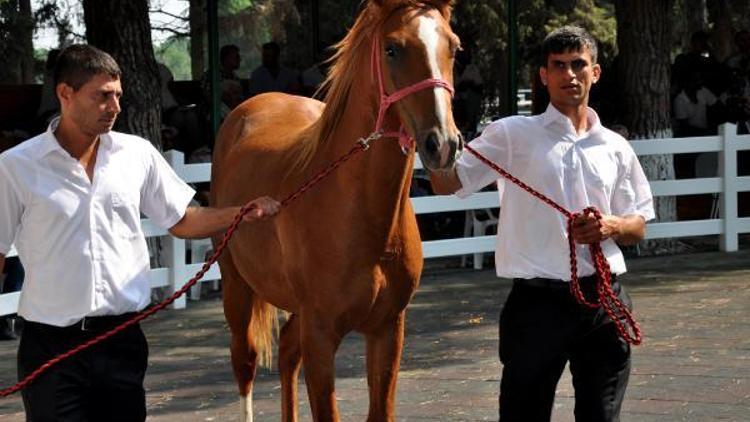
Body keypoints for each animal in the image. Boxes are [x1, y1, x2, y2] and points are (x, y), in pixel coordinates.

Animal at [212, 1, 464, 420]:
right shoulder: (320, 334)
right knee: (244, 364)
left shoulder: (388, 330)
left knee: (286, 352)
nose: (443, 144)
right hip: (237, 289)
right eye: (392, 49)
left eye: (454, 48)